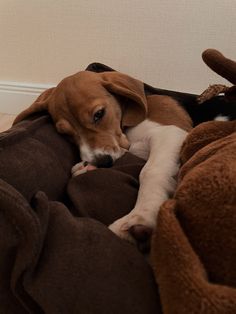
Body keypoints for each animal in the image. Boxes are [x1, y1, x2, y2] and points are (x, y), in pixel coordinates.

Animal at [13, 70, 192, 247]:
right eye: (65, 133)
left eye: (99, 114)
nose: (102, 162)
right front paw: (86, 166)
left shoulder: (169, 133)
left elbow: (149, 171)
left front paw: (140, 217)